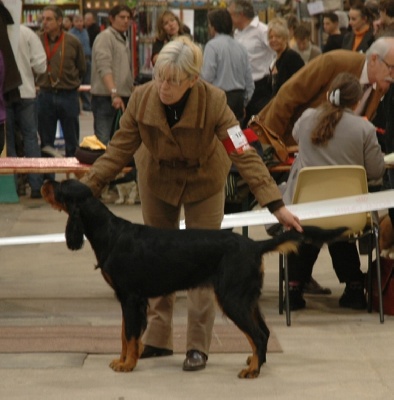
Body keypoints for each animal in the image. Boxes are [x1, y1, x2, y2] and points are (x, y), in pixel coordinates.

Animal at [41, 180, 346, 380]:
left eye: (60, 187)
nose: (45, 181)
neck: (109, 232)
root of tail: (254, 246)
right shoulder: (129, 299)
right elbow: (125, 334)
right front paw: (123, 359)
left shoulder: (130, 297)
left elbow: (129, 334)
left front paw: (126, 365)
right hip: (246, 298)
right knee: (264, 332)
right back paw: (255, 361)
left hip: (232, 298)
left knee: (258, 334)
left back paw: (252, 371)